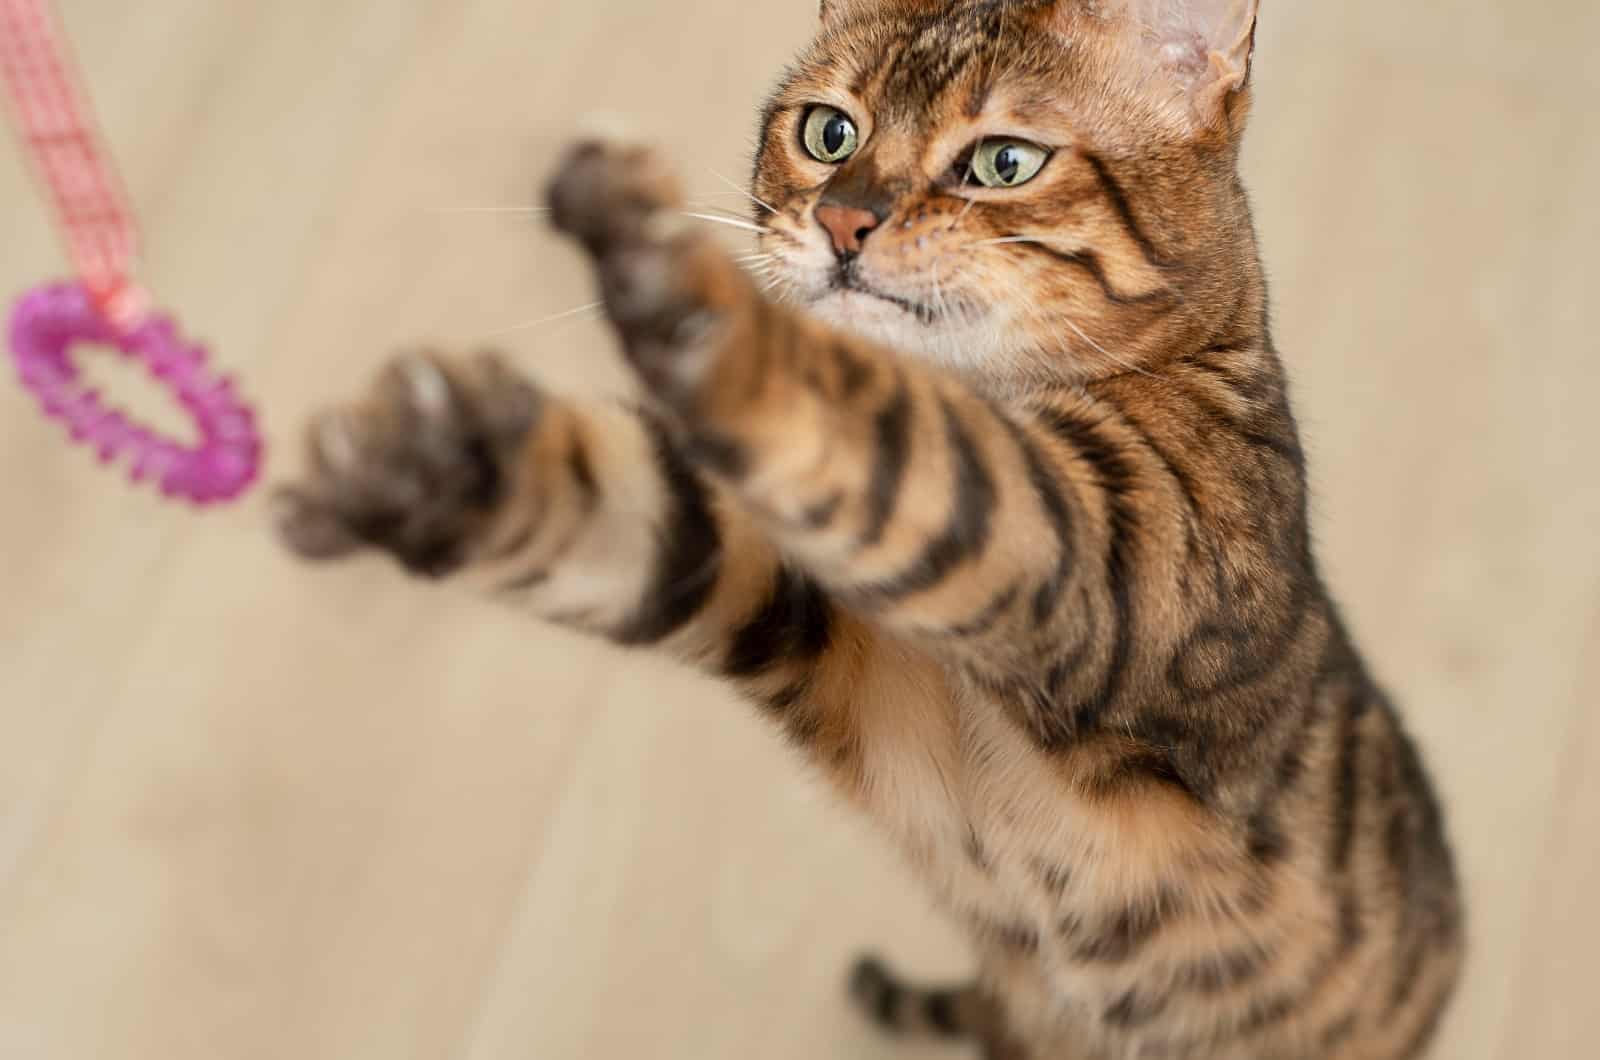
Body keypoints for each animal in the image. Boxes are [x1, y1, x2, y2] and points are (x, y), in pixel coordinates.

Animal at [278, 2, 1465, 1060]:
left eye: (1003, 162)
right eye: (828, 134)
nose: (843, 222)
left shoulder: (1103, 544)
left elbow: (894, 431)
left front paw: (675, 283)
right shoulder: (815, 620)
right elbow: (646, 508)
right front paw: (443, 464)